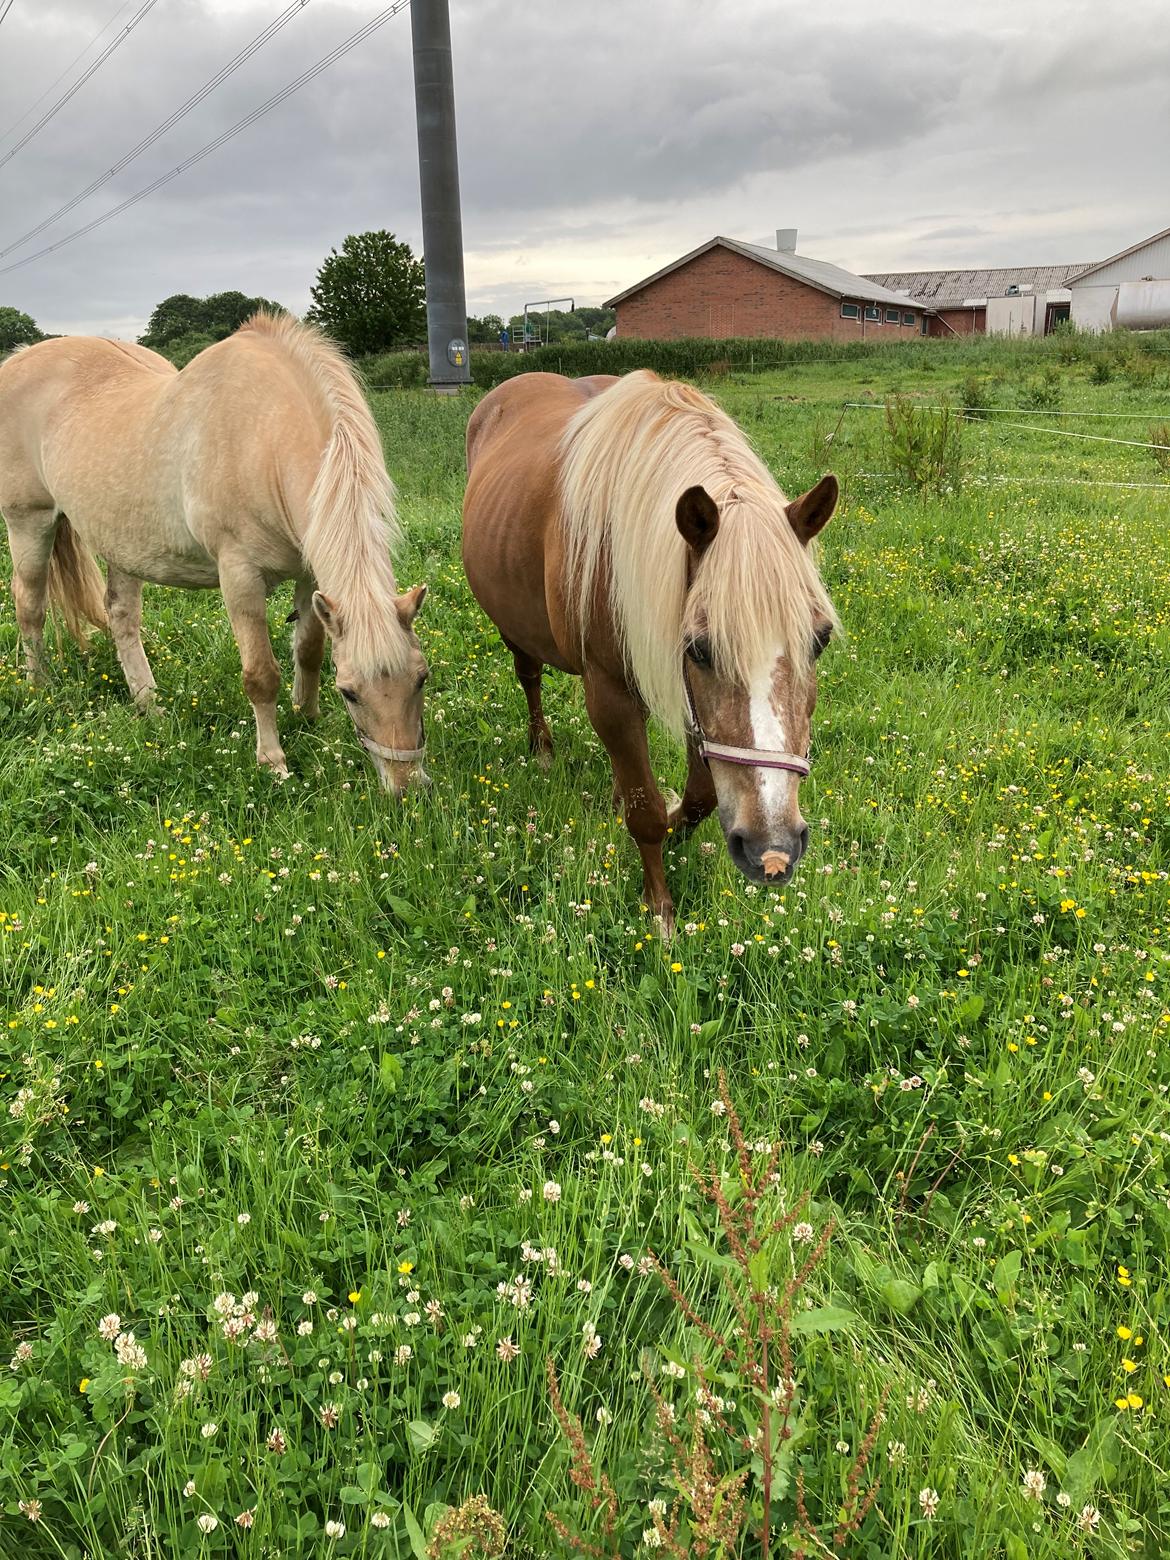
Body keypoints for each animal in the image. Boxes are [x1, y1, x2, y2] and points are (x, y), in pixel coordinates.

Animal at [0, 312, 430, 792]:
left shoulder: (310, 575)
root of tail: (17, 360)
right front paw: (273, 761)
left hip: (121, 544)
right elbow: (260, 675)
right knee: (30, 606)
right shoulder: (239, 575)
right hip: (29, 523)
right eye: (350, 691)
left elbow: (309, 649)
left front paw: (308, 716)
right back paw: (39, 687)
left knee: (121, 617)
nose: (408, 787)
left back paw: (150, 705)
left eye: (422, 678)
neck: (261, 436)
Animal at [461, 368, 836, 923]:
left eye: (820, 640)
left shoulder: (684, 697)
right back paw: (543, 749)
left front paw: (678, 824)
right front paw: (659, 908)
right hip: (514, 627)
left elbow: (699, 796)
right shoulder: (614, 690)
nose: (772, 851)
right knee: (529, 677)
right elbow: (646, 813)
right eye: (700, 649)